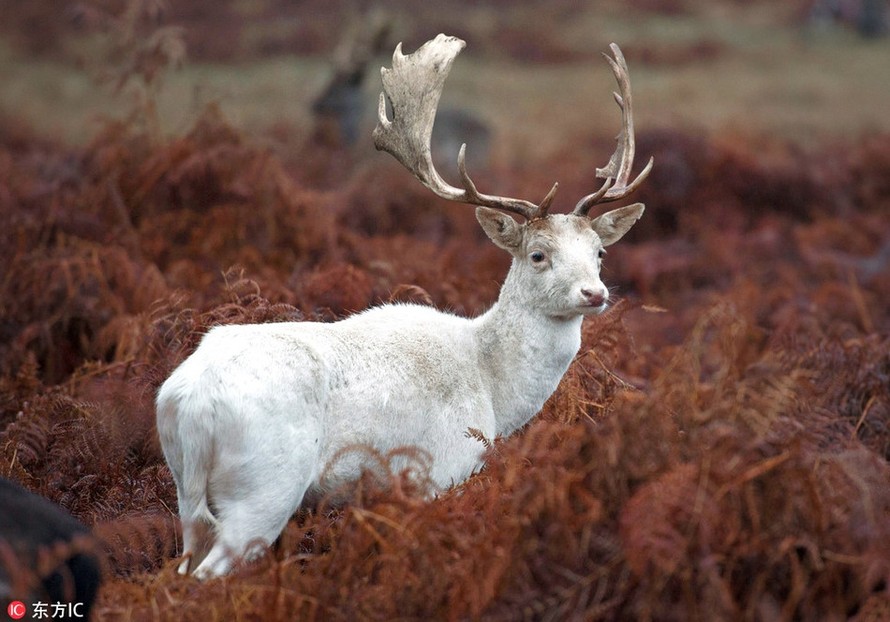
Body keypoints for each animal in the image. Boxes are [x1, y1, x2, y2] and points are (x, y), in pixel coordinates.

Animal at [154, 34, 652, 580]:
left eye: (599, 252)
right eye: (538, 254)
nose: (594, 294)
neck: (493, 393)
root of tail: (187, 401)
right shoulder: (441, 468)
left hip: (187, 496)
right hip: (264, 485)